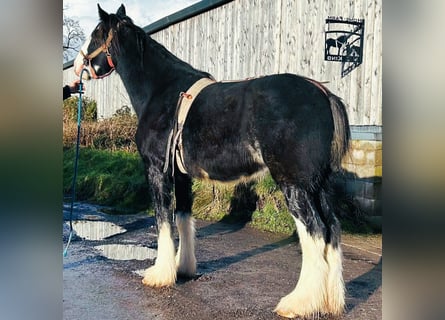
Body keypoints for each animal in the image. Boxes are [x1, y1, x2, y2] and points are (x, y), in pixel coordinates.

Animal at [73, 4, 350, 318]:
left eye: (96, 33)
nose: (77, 65)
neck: (162, 90)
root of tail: (324, 94)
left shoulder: (157, 170)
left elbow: (162, 220)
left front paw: (159, 274)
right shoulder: (180, 174)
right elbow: (182, 217)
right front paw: (182, 269)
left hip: (295, 184)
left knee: (314, 231)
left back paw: (298, 303)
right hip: (318, 184)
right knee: (332, 229)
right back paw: (330, 301)